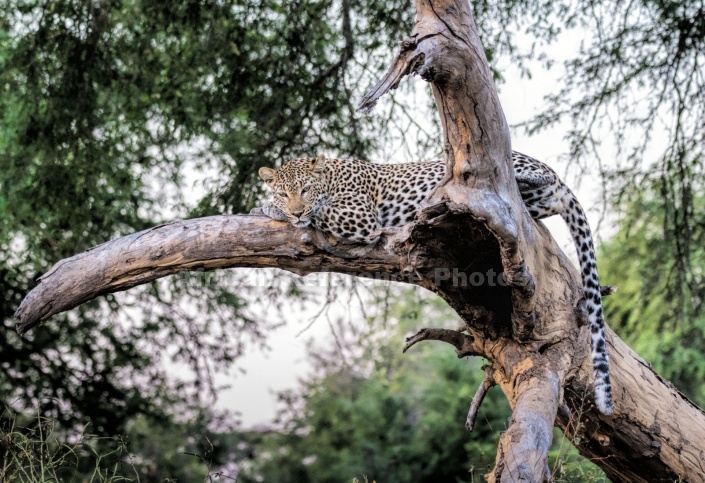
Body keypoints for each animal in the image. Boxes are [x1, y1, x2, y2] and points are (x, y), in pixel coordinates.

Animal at [252, 152, 612, 416]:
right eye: (284, 191)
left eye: (304, 190)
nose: (295, 211)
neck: (330, 177)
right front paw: (269, 206)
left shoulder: (361, 218)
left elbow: (321, 211)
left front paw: (270, 208)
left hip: (507, 170)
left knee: (533, 175)